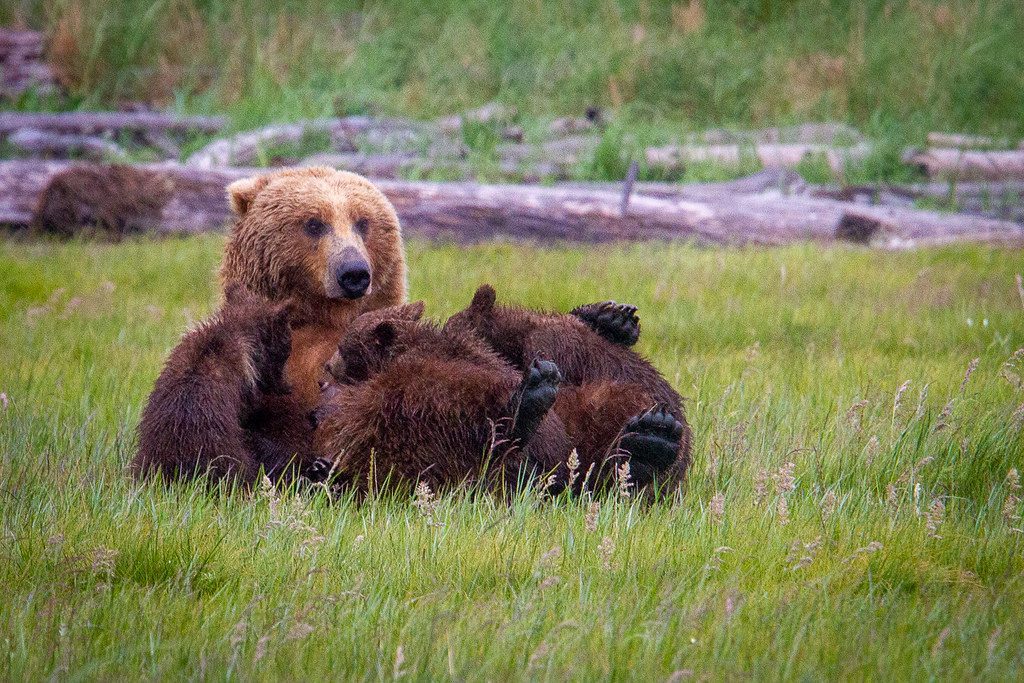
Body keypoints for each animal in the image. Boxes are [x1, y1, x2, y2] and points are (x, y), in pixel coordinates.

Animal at [31, 164, 174, 239]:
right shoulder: (108, 203)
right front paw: (118, 233)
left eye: (170, 194)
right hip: (68, 201)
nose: (171, 197)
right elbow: (110, 220)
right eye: (165, 193)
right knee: (66, 223)